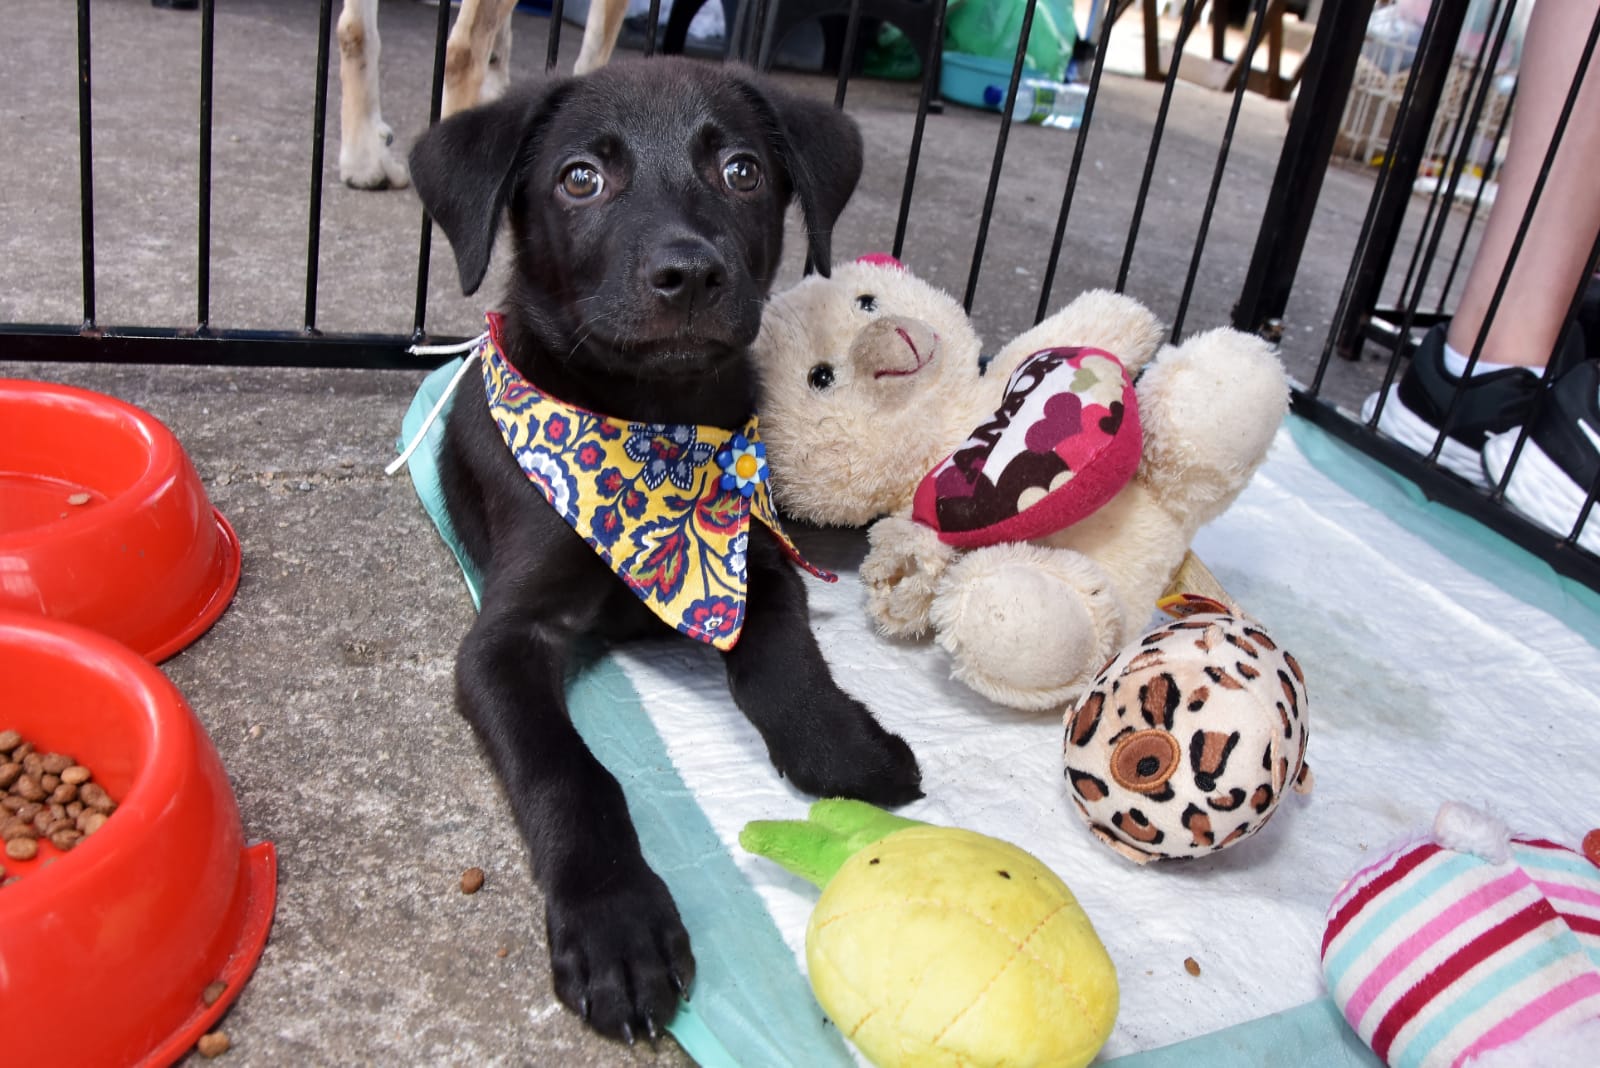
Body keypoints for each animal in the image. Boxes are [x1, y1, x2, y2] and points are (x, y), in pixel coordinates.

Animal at [406, 60, 921, 1042]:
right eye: (580, 179)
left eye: (741, 170)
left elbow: (784, 662)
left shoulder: (755, 563)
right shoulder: (505, 638)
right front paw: (618, 925)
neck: (656, 429)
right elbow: (570, 773)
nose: (688, 274)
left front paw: (841, 747)